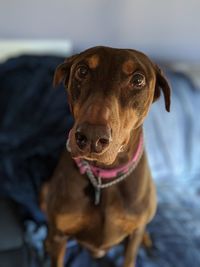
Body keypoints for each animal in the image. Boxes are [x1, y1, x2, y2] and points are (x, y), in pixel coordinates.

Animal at [41, 46, 171, 267]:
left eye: (138, 79)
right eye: (82, 71)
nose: (91, 136)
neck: (104, 177)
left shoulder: (131, 241)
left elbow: (130, 255)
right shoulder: (60, 234)